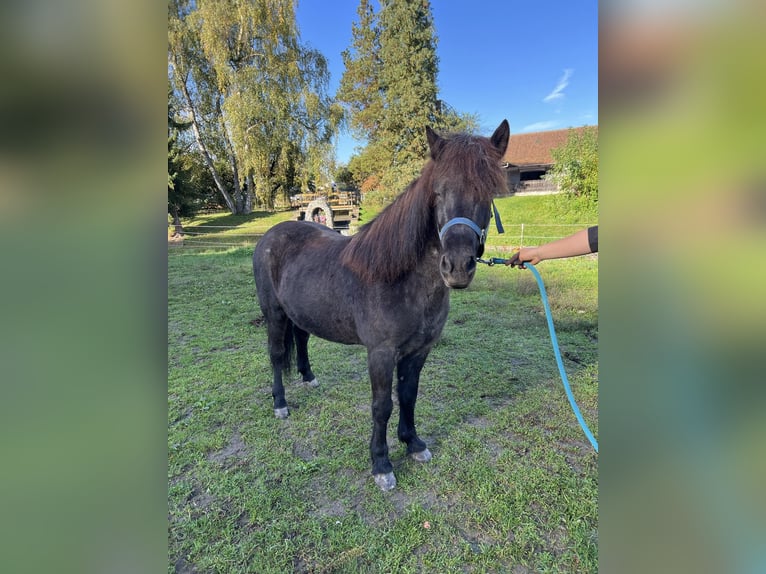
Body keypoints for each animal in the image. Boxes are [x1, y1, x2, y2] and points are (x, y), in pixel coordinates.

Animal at [255, 119, 512, 492]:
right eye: (438, 192)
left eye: (488, 193)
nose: (457, 267)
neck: (400, 279)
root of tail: (270, 235)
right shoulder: (380, 353)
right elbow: (381, 406)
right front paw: (381, 464)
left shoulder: (419, 351)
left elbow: (408, 396)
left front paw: (413, 444)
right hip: (273, 314)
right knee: (276, 355)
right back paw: (280, 404)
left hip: (300, 312)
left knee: (301, 339)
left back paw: (309, 378)